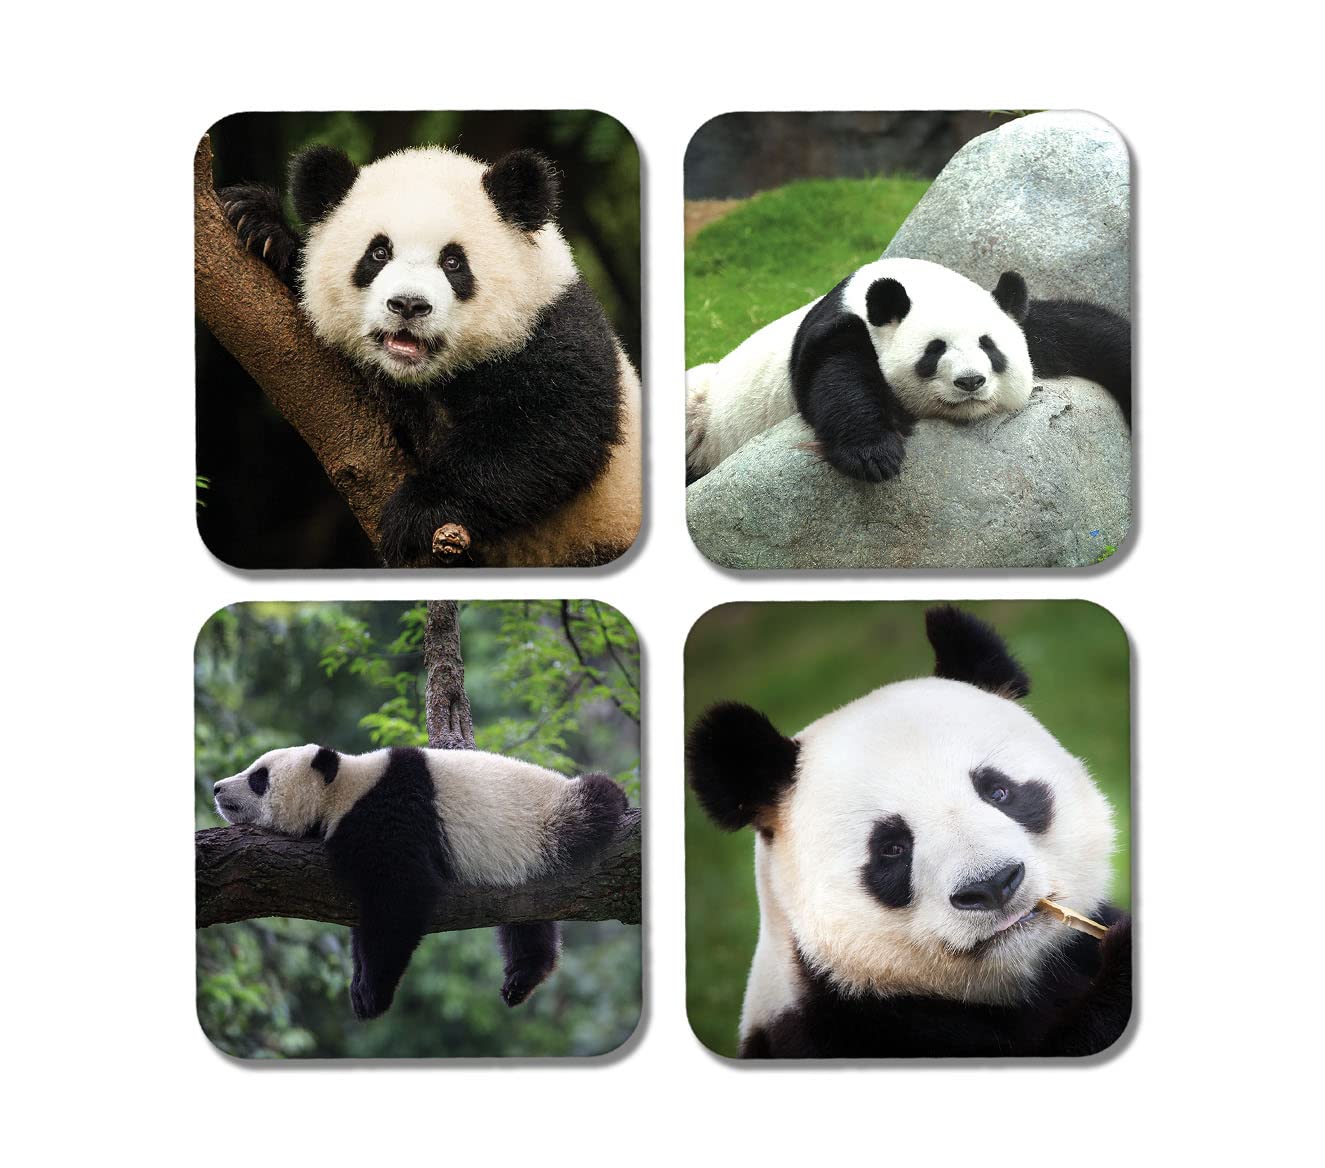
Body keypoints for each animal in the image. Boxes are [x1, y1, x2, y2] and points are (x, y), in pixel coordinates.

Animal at [213, 743, 629, 1019]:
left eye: (259, 778)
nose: (216, 788)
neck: (346, 787)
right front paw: (359, 982)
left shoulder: (390, 817)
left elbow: (400, 899)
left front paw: (371, 994)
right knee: (526, 919)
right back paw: (523, 976)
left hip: (551, 820)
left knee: (594, 803)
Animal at [217, 145, 641, 567]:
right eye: (378, 253)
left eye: (453, 262)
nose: (408, 304)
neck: (425, 377)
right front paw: (260, 227)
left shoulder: (552, 329)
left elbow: (550, 431)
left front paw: (416, 512)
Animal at [685, 257, 1130, 483]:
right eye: (934, 351)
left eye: (989, 346)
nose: (970, 382)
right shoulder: (840, 328)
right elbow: (837, 378)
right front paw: (873, 454)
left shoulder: (1025, 323)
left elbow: (1090, 332)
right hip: (703, 422)